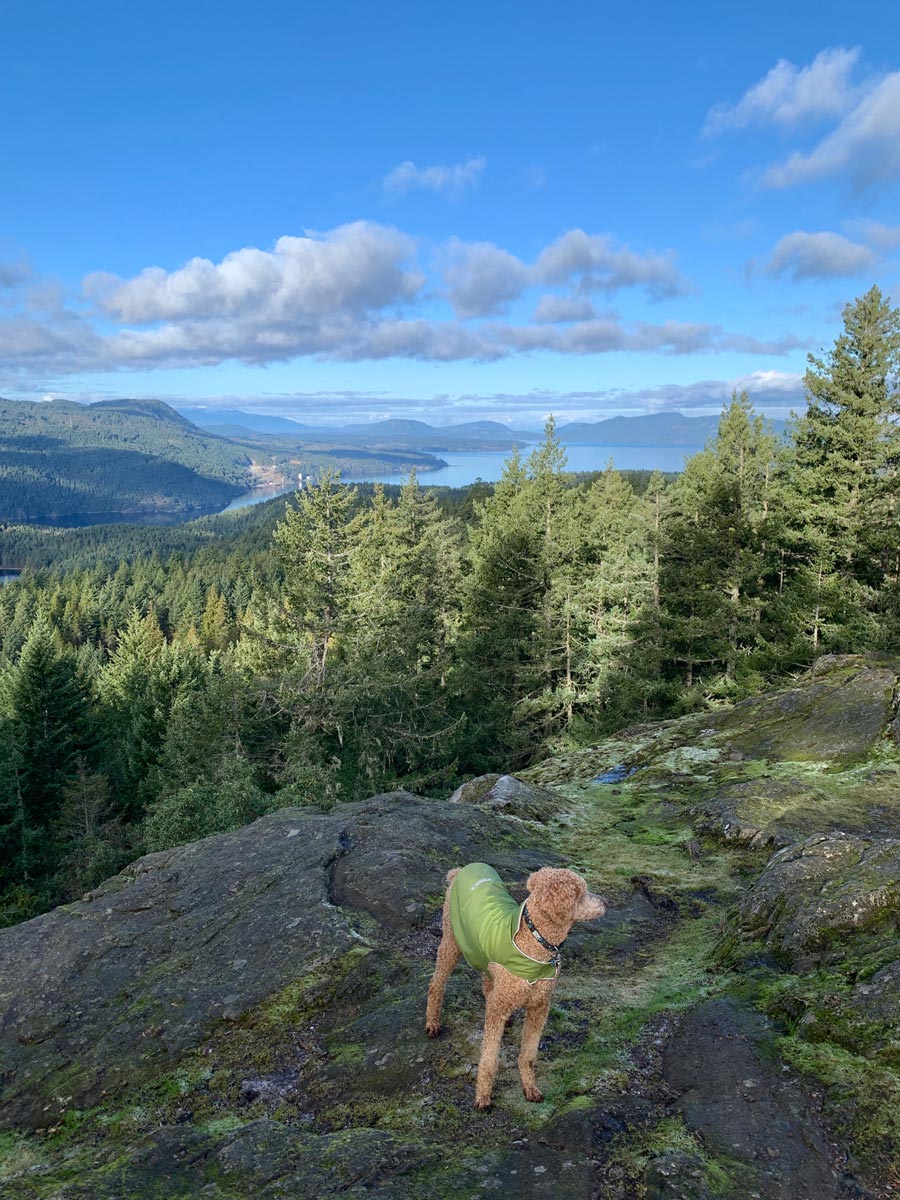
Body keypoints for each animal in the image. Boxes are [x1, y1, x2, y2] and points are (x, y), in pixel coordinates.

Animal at [424, 864, 607, 1104]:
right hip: (451, 941)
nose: (606, 902)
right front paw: (483, 1096)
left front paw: (529, 1087)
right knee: (436, 984)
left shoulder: (539, 1007)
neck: (535, 941)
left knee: (487, 983)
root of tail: (461, 870)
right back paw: (432, 1022)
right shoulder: (503, 1006)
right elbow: (489, 1058)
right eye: (581, 893)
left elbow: (528, 1055)